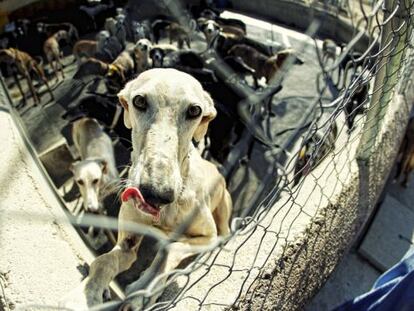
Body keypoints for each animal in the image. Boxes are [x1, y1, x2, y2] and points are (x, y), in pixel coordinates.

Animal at [61, 68, 231, 310]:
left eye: (195, 110)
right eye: (139, 101)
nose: (155, 194)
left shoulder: (208, 236)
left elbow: (170, 249)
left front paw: (143, 292)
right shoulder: (127, 241)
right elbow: (104, 260)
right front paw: (84, 295)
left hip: (224, 208)